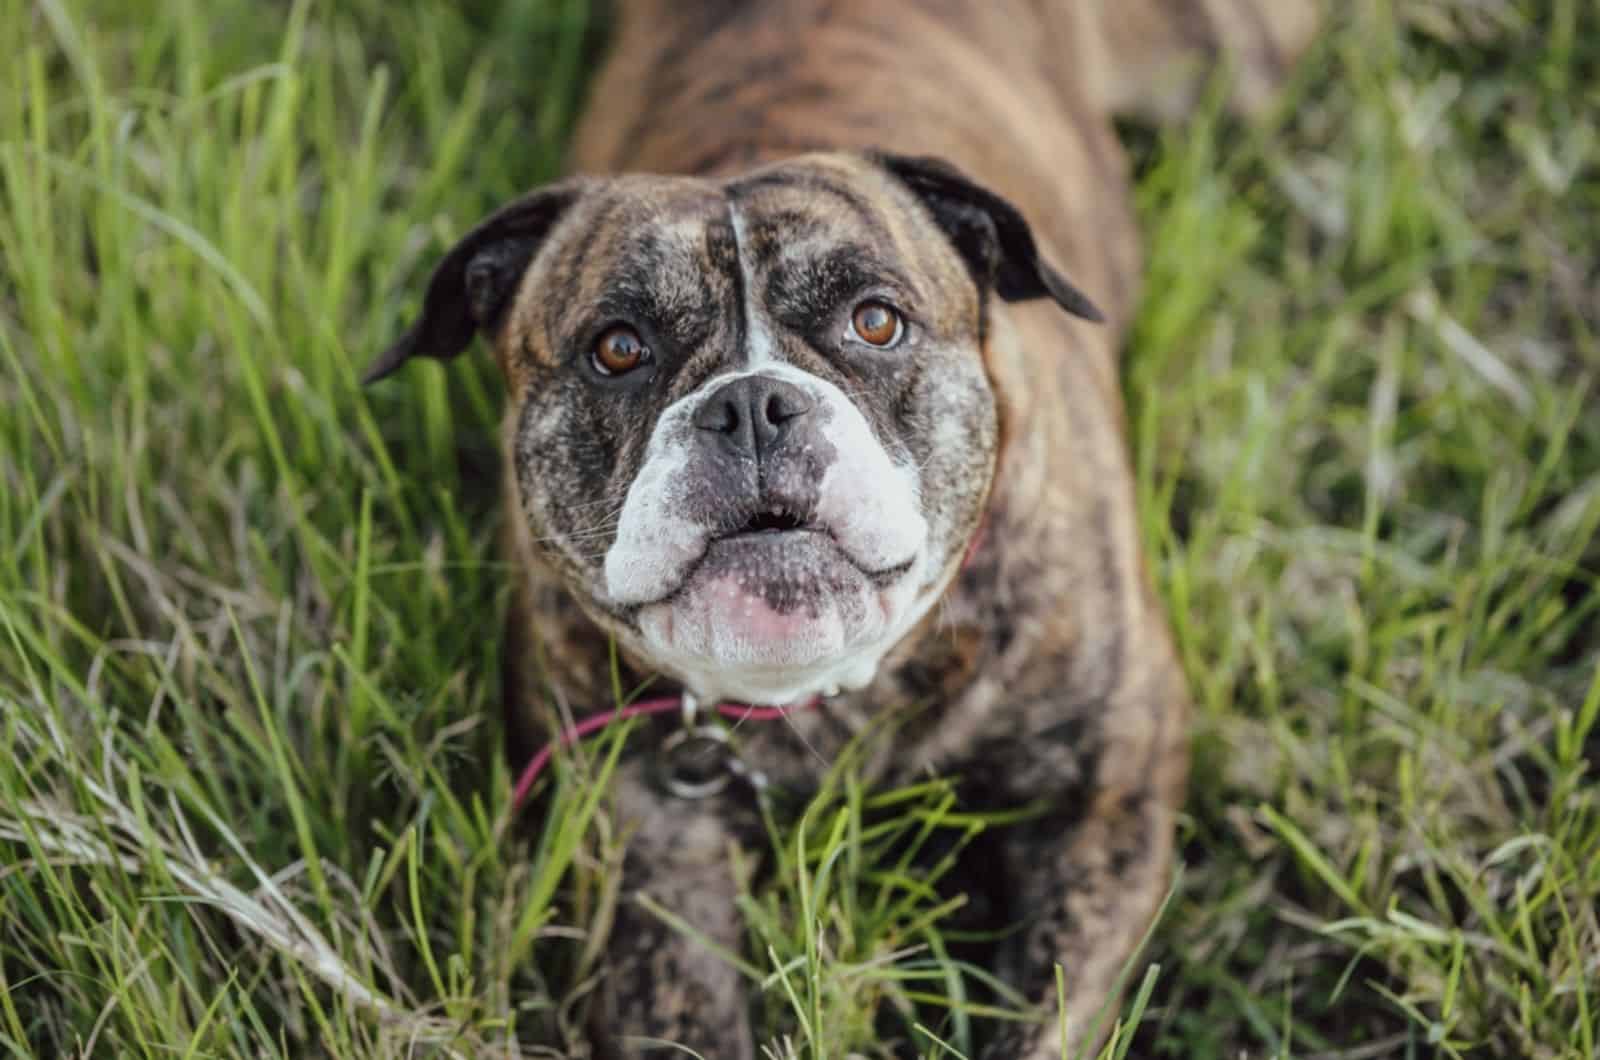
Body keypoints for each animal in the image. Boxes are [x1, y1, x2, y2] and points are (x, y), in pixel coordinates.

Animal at [368, 0, 1318, 1056]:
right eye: (617, 349)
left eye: (875, 322)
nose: (750, 405)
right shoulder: (646, 840)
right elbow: (681, 1001)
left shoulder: (1107, 788)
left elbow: (1049, 1005)